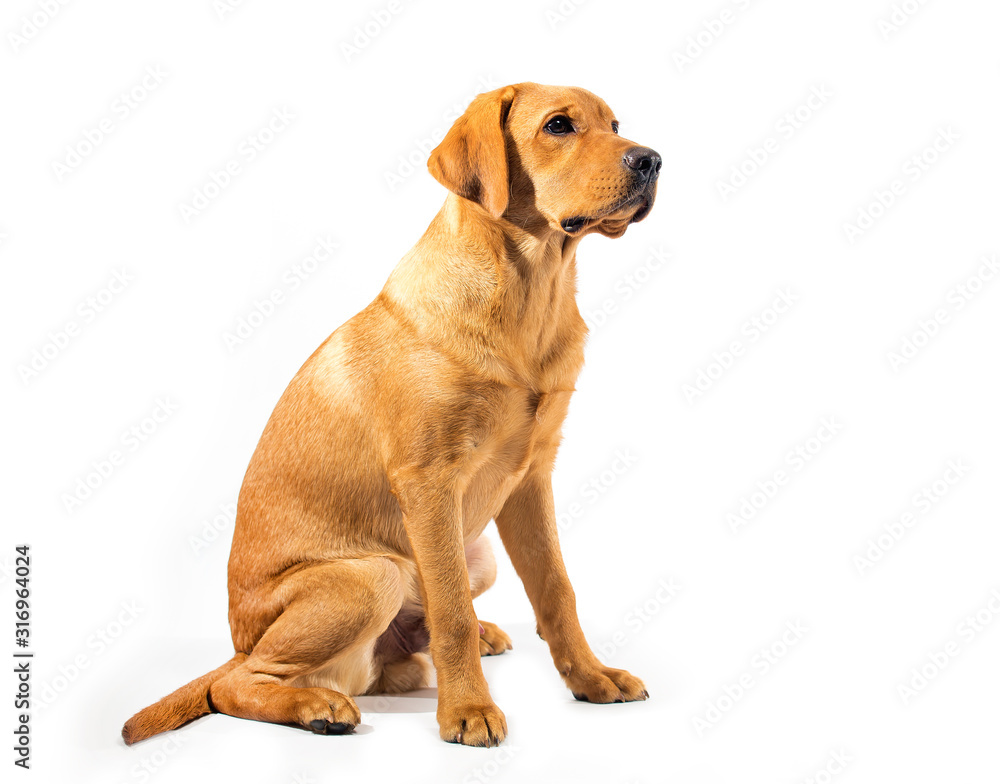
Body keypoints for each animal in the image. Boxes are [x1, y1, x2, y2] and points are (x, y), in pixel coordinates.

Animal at [123, 79, 656, 748]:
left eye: (616, 125)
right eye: (559, 126)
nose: (652, 160)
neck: (531, 292)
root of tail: (236, 644)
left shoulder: (532, 476)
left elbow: (556, 590)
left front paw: (590, 677)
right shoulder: (429, 482)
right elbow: (452, 610)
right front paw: (468, 710)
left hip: (474, 553)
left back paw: (472, 641)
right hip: (370, 574)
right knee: (238, 684)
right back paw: (318, 705)